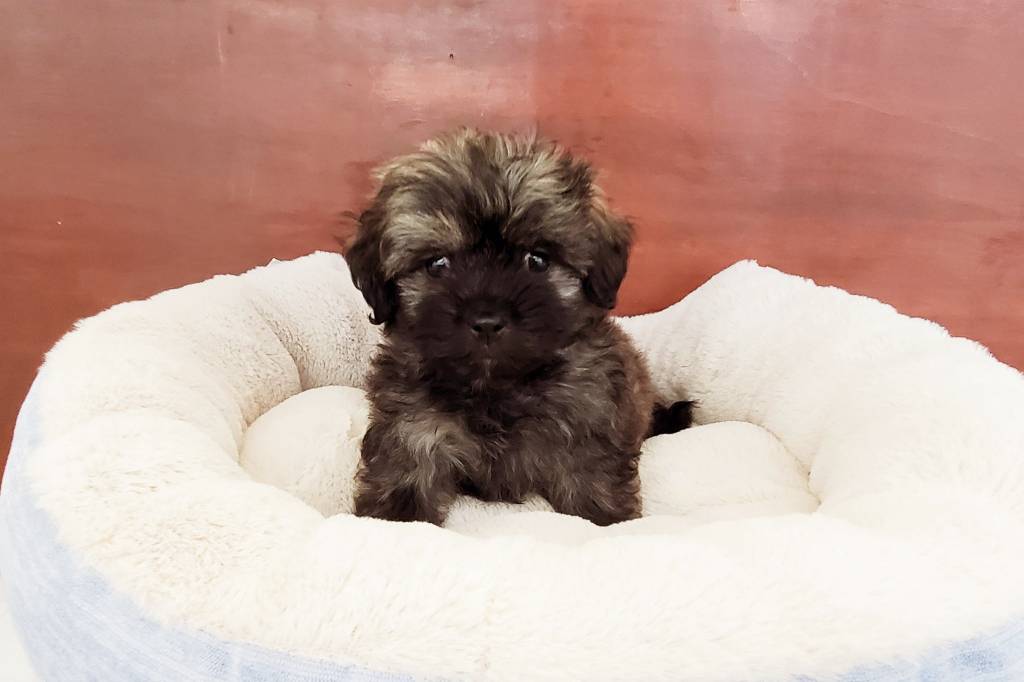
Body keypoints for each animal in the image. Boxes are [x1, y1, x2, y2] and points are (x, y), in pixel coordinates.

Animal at [343, 129, 690, 526]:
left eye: (536, 260)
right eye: (437, 264)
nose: (487, 322)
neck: (496, 387)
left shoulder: (586, 428)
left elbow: (591, 489)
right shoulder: (412, 432)